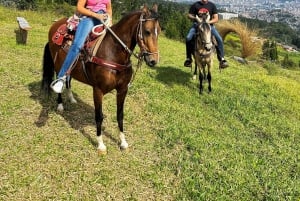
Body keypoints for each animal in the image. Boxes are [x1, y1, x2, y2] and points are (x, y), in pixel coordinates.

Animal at [41, 4, 162, 155]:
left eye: (159, 31)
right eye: (147, 31)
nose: (153, 61)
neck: (114, 53)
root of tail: (55, 25)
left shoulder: (122, 90)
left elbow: (120, 115)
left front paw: (123, 142)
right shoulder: (98, 90)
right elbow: (99, 116)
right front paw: (101, 145)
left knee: (68, 79)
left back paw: (72, 99)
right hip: (58, 65)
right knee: (60, 78)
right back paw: (60, 105)